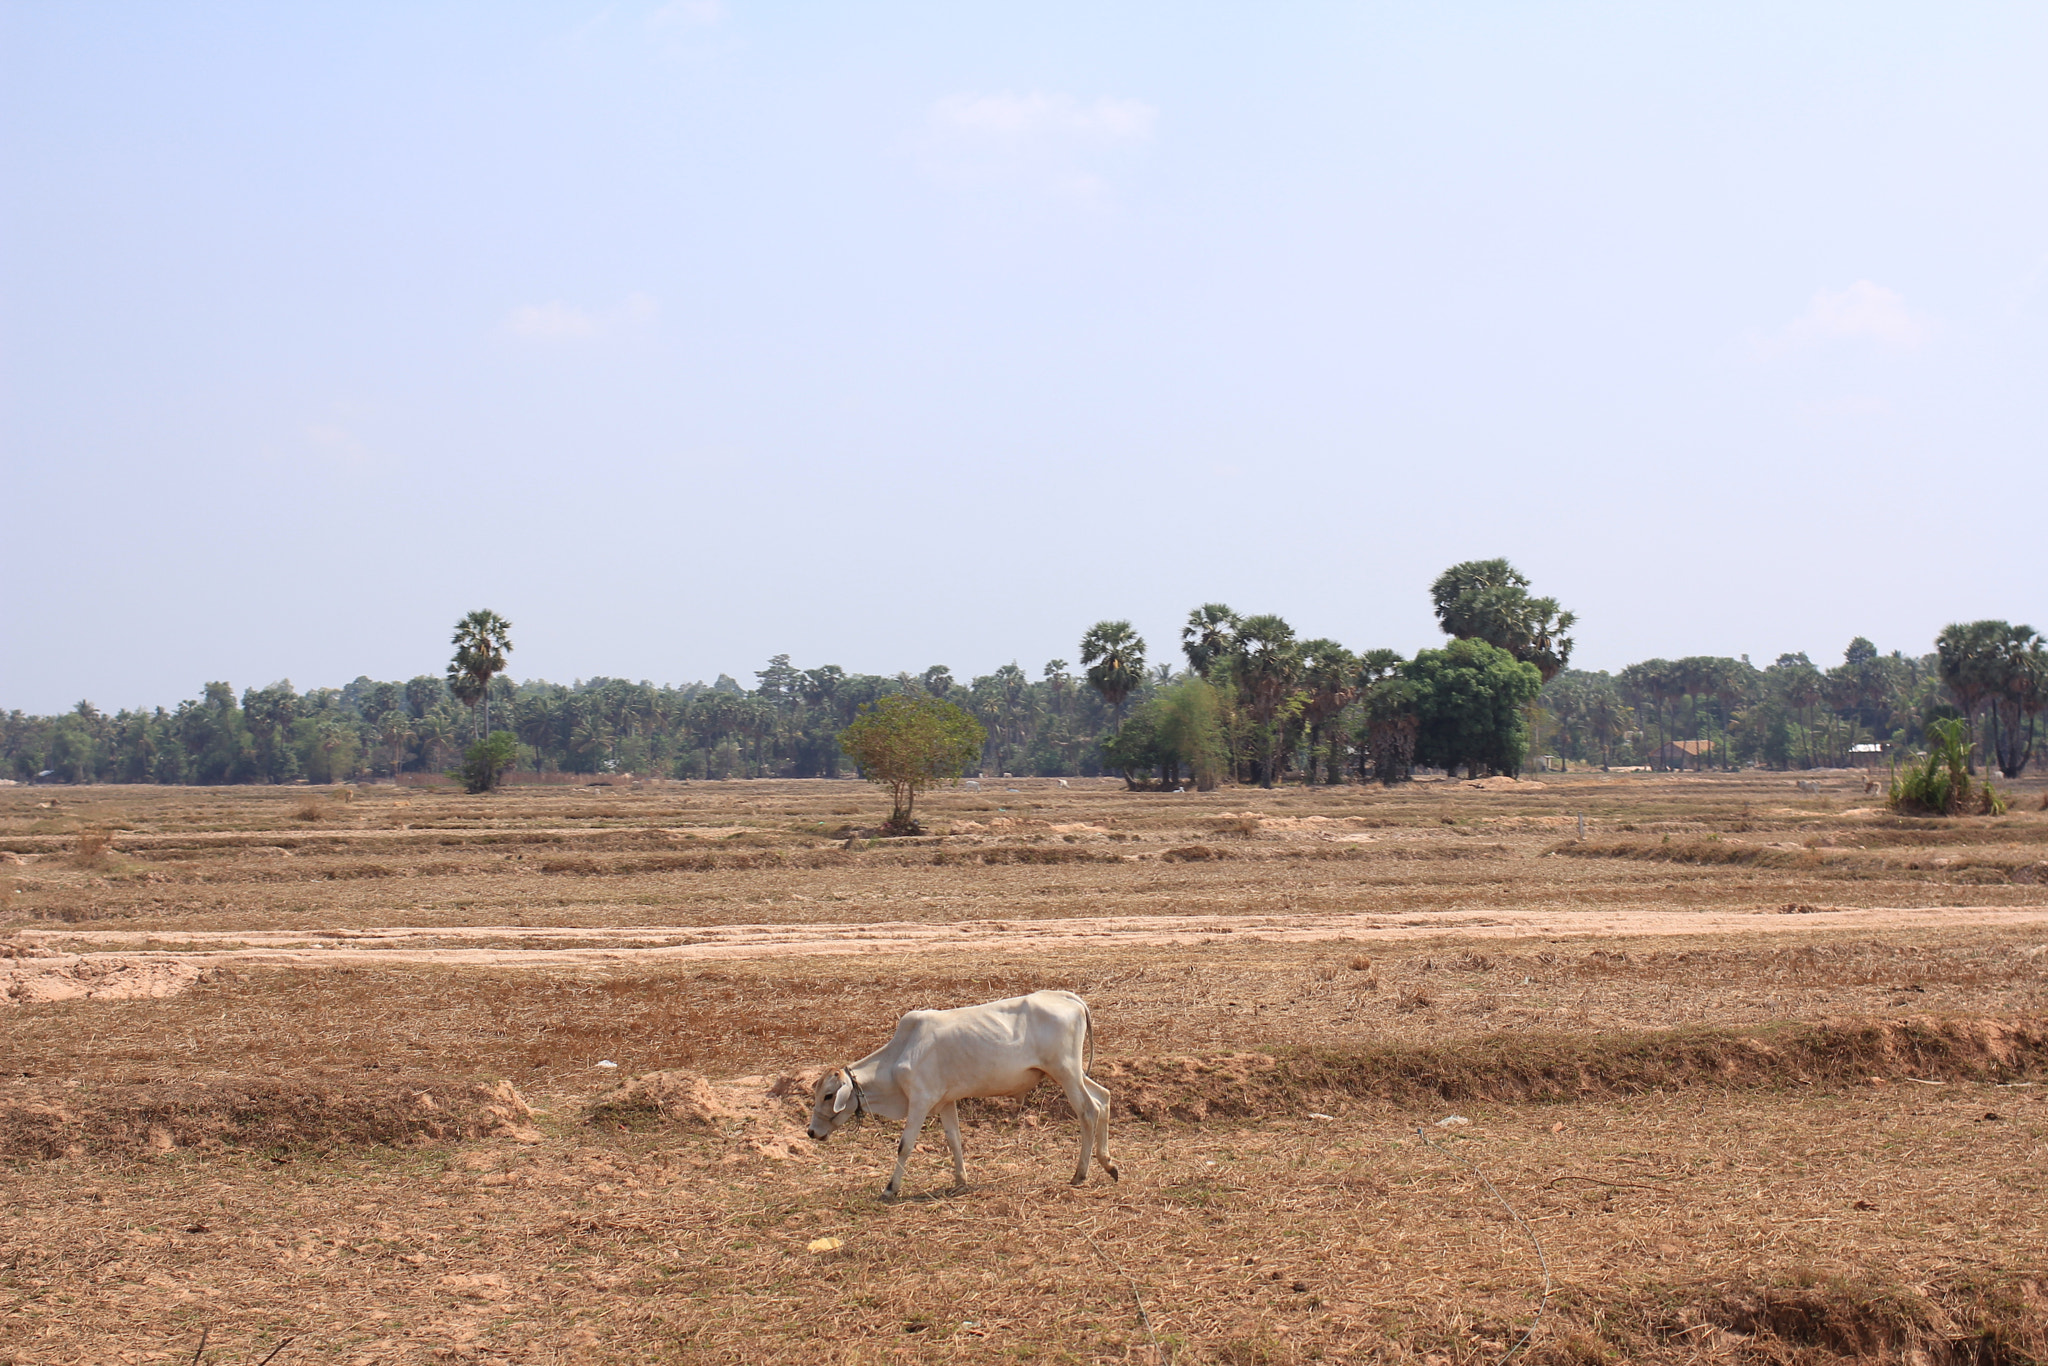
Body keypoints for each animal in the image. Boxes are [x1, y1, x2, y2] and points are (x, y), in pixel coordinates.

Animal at [802, 995, 1122, 1196]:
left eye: (829, 1095)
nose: (812, 1132)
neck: (896, 1059)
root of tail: (1068, 998)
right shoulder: (945, 1102)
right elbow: (954, 1140)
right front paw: (960, 1180)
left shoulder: (920, 1102)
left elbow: (904, 1146)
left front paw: (890, 1188)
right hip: (1072, 1073)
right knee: (1104, 1097)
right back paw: (1108, 1164)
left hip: (1065, 1072)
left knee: (1089, 1111)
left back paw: (1080, 1174)